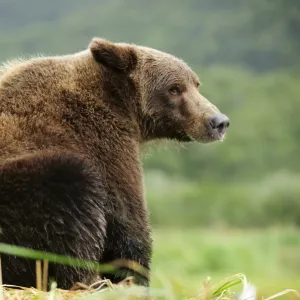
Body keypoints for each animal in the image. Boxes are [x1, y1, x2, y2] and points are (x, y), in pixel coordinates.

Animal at [0, 37, 230, 288]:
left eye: (196, 84)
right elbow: (127, 222)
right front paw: (133, 279)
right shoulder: (105, 144)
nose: (219, 121)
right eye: (174, 88)